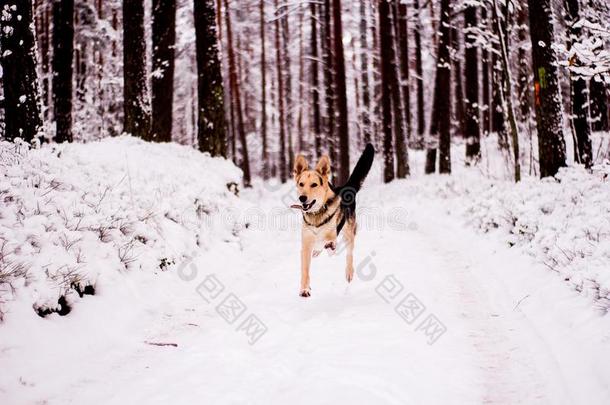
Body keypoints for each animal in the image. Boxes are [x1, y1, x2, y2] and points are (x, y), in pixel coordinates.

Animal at [290, 144, 372, 296]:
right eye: (301, 184)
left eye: (314, 185)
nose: (302, 198)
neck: (316, 214)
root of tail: (345, 187)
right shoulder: (306, 244)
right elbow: (305, 270)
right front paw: (304, 289)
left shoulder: (331, 235)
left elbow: (328, 242)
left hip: (348, 233)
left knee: (349, 253)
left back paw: (349, 272)